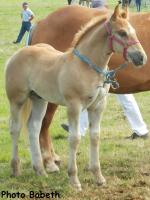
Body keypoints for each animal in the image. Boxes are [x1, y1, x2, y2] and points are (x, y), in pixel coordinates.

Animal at [5, 3, 146, 190]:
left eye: (134, 31)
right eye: (122, 33)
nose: (141, 57)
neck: (86, 67)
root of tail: (18, 53)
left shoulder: (98, 106)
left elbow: (95, 137)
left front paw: (99, 177)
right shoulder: (74, 106)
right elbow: (74, 138)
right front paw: (74, 180)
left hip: (39, 99)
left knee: (34, 127)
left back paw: (40, 170)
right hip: (17, 100)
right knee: (15, 128)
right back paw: (17, 168)